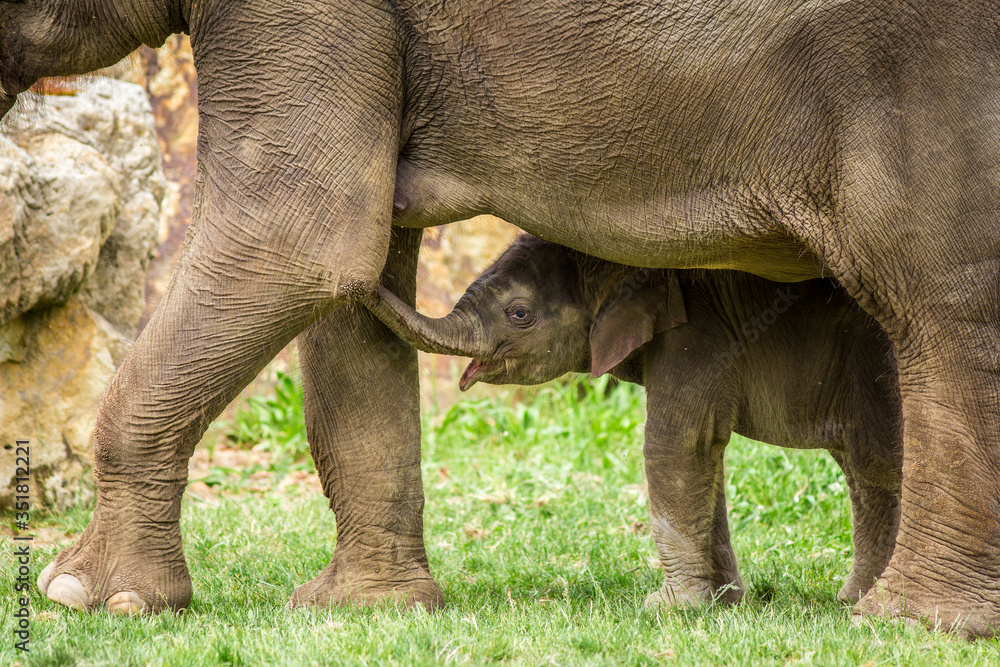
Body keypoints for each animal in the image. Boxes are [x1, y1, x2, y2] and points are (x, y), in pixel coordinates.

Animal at [366, 234, 903, 608]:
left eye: (518, 314)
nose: (364, 282)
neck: (628, 265)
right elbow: (707, 454)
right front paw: (724, 604)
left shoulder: (697, 334)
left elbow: (678, 443)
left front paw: (669, 610)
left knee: (873, 463)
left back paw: (858, 602)